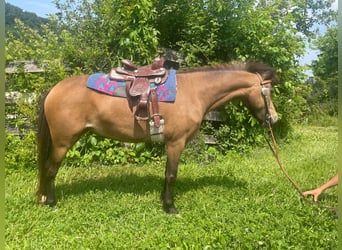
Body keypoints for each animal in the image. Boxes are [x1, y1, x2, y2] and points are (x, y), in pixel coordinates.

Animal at [36, 60, 278, 213]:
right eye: (267, 91)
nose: (274, 119)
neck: (194, 91)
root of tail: (54, 89)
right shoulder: (176, 143)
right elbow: (171, 175)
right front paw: (170, 207)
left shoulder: (170, 144)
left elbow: (166, 173)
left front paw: (164, 200)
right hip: (62, 142)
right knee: (50, 169)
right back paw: (51, 202)